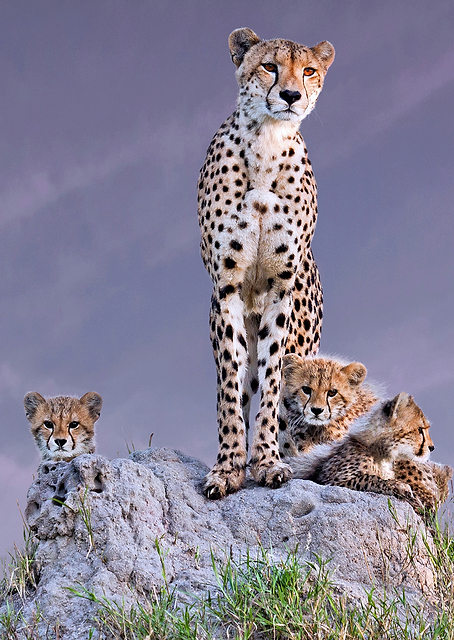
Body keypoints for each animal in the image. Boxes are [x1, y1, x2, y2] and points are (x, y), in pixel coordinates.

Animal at [198, 27, 335, 499]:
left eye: (308, 70)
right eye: (269, 66)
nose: (291, 95)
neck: (267, 143)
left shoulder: (280, 290)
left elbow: (276, 382)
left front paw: (269, 463)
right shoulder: (226, 288)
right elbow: (229, 385)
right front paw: (228, 467)